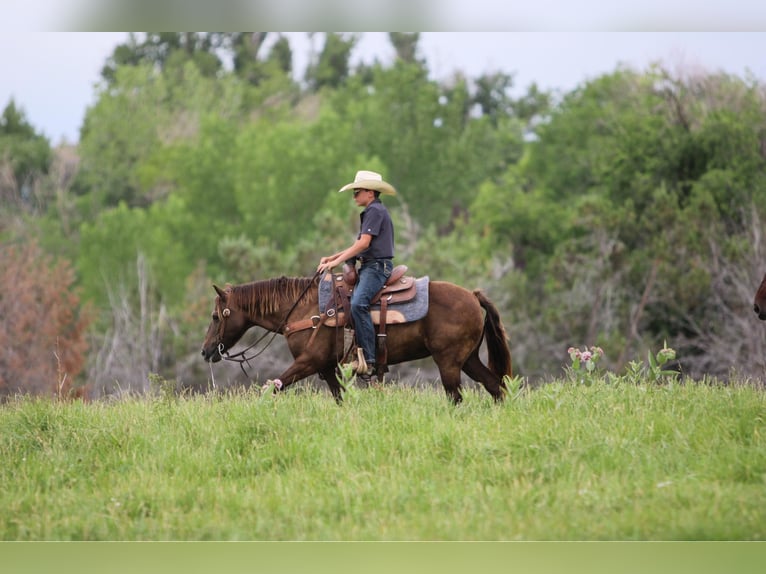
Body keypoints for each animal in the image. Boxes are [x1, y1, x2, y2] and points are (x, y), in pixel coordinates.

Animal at [201, 276, 512, 404]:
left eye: (216, 316)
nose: (205, 351)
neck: (306, 309)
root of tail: (472, 296)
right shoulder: (326, 367)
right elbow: (340, 397)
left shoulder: (309, 361)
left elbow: (273, 386)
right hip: (468, 359)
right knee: (495, 387)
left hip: (448, 362)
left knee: (456, 397)